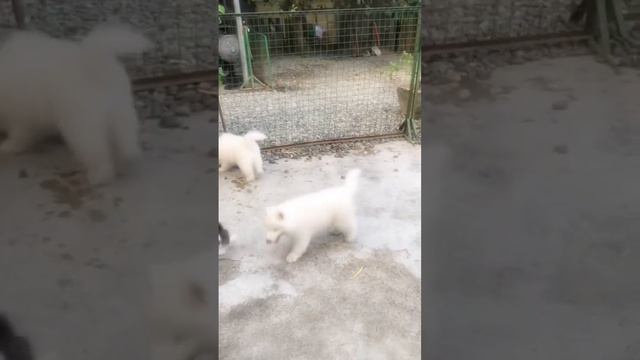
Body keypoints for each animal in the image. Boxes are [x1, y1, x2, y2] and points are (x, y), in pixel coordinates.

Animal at [0, 22, 152, 186]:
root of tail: (98, 69)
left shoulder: (21, 116)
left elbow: (20, 136)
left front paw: (8, 146)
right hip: (121, 114)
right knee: (123, 142)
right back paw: (121, 165)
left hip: (82, 125)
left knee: (97, 153)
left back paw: (97, 178)